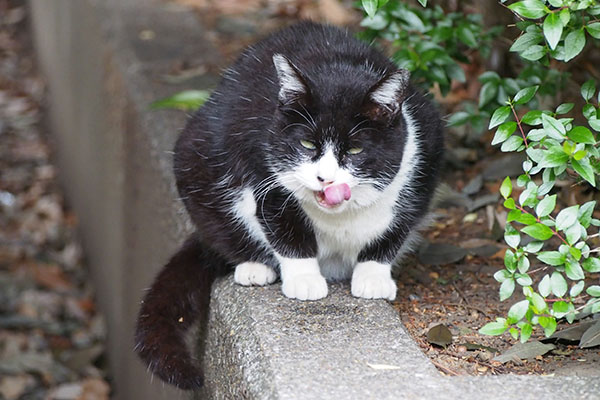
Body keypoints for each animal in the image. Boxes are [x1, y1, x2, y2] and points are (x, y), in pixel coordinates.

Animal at [136, 20, 446, 390]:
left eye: (355, 149)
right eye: (308, 143)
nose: (326, 178)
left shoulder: (425, 159)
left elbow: (394, 229)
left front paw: (373, 276)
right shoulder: (262, 164)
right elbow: (284, 226)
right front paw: (304, 280)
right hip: (194, 157)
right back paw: (255, 267)